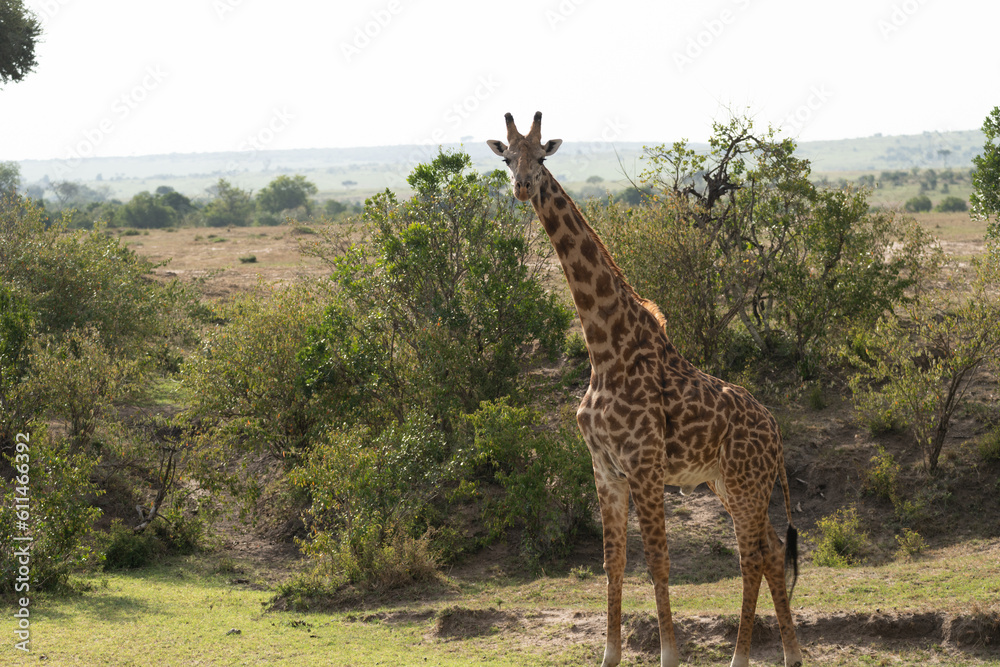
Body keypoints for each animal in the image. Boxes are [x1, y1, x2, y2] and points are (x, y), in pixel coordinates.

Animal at [488, 112, 803, 667]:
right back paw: (789, 655)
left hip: (745, 483)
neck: (604, 350)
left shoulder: (645, 463)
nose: (523, 186)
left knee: (753, 554)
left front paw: (669, 654)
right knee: (767, 549)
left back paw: (744, 657)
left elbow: (658, 561)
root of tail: (776, 431)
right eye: (507, 158)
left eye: (542, 156)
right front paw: (610, 654)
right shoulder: (605, 468)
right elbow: (613, 562)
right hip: (731, 484)